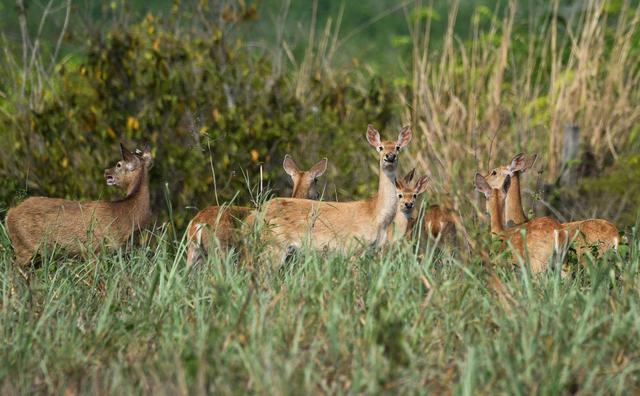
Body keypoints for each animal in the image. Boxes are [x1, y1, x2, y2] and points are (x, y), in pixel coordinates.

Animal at [5, 142, 152, 266]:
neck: (125, 215)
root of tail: (9, 214)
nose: (106, 171)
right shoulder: (94, 249)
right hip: (25, 246)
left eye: (118, 164)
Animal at [252, 123, 412, 260]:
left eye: (398, 147)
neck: (376, 214)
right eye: (380, 147)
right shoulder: (353, 246)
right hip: (274, 244)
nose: (390, 156)